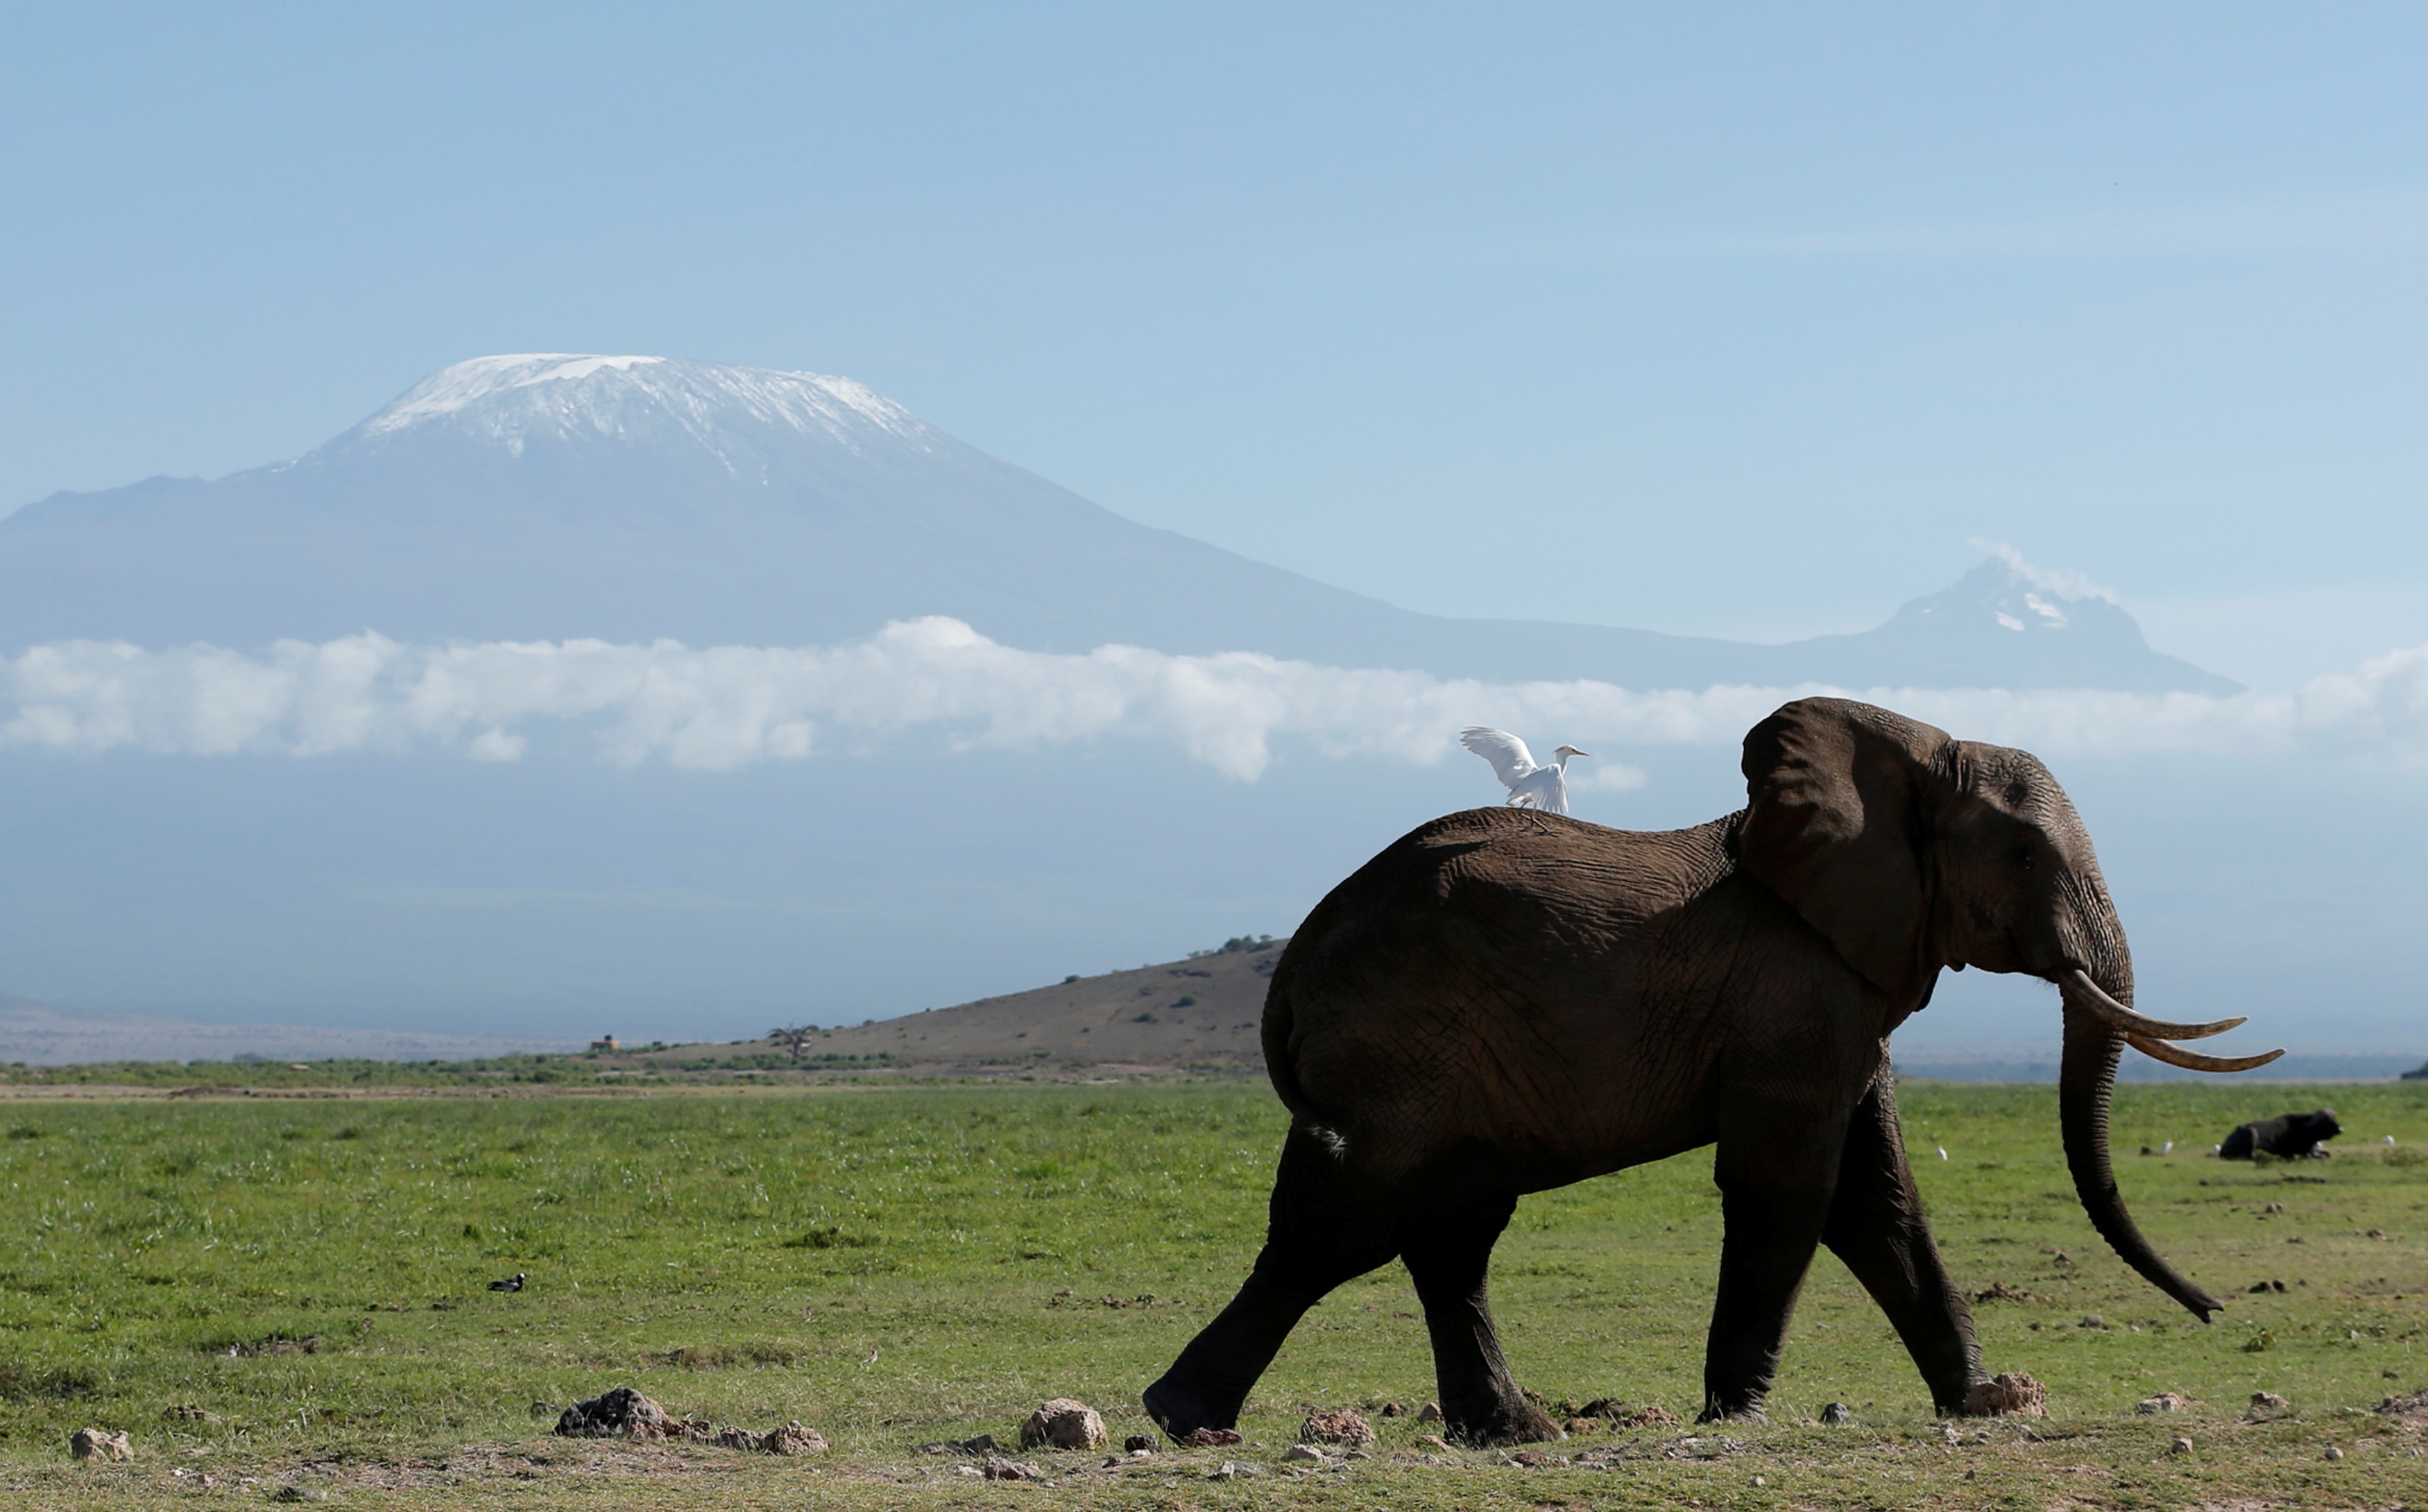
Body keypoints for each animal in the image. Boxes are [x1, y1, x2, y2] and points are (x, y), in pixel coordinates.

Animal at [1136, 698, 2273, 1446]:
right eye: (2027, 856)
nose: (2215, 1313)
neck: (1900, 758)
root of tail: (1297, 956)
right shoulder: (1796, 994)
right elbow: (1796, 1188)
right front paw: (1736, 1413)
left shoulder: (1842, 992)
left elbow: (1879, 1197)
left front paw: (1980, 1404)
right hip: (1401, 1044)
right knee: (1347, 1217)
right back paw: (1181, 1417)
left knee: (1448, 1229)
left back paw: (1514, 1431)